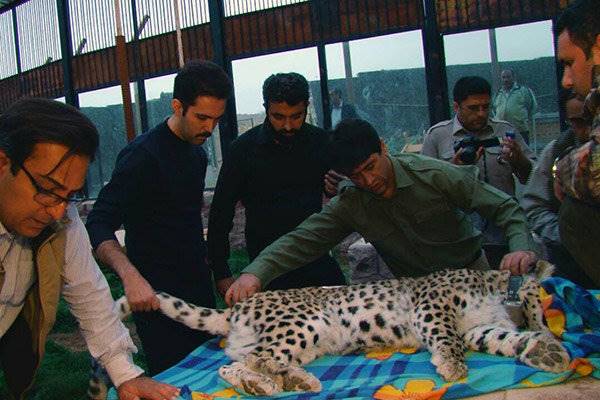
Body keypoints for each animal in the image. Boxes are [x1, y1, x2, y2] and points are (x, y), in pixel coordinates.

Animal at [113, 260, 572, 396]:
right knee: (247, 365)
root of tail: (240, 306)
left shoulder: (479, 329)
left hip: (301, 342)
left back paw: (294, 381)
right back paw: (269, 385)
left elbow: (503, 338)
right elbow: (446, 337)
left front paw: (546, 350)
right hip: (305, 323)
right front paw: (454, 368)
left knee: (243, 363)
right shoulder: (432, 304)